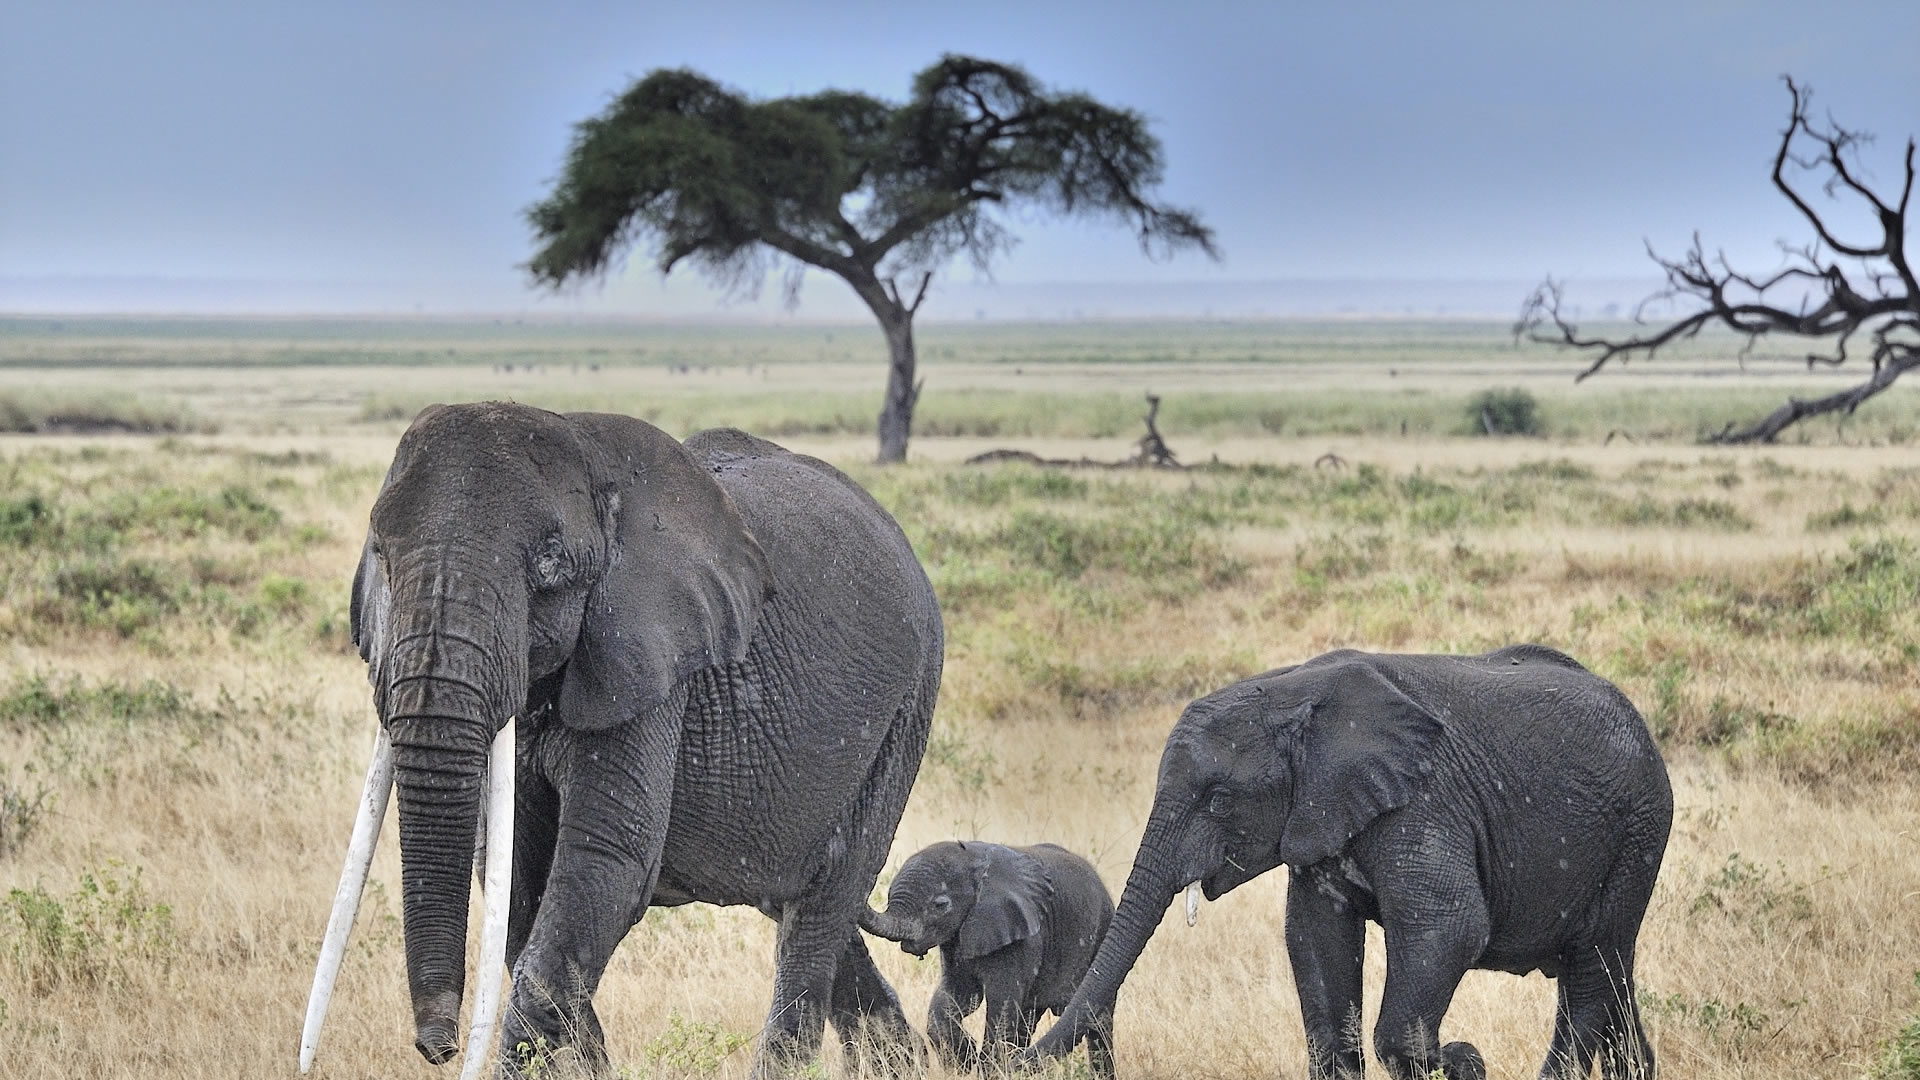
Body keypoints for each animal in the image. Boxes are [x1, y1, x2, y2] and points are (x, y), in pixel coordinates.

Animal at [299, 404, 943, 1079]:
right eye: (381, 555)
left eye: (550, 566)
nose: (437, 1048)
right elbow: (515, 877)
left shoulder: (651, 657)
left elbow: (605, 860)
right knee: (797, 895)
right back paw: (903, 1062)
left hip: (906, 707)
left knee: (823, 901)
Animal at [859, 841, 1115, 1077]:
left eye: (940, 905)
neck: (974, 859)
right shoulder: (956, 938)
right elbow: (959, 995)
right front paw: (966, 1059)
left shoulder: (1021, 936)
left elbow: (1001, 1002)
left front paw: (983, 1066)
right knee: (1028, 1017)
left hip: (1102, 931)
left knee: (1098, 1022)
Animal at [1024, 645, 1672, 1080]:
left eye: (1219, 801)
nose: (1013, 1057)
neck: (1295, 692)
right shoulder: (1320, 818)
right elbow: (1315, 939)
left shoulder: (1424, 800)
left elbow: (1450, 928)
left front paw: (1459, 1058)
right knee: (1609, 979)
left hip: (1637, 834)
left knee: (1589, 974)